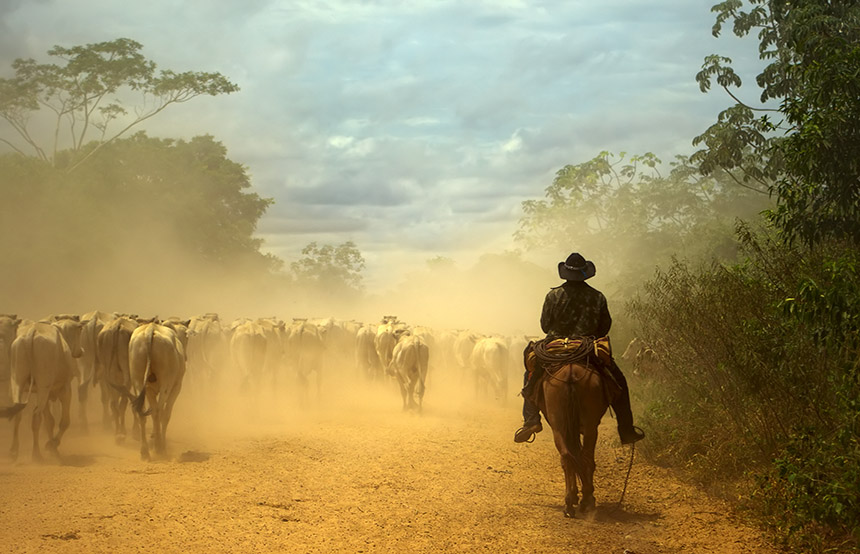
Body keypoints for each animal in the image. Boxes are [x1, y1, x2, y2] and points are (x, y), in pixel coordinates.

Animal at [528, 344, 620, 512]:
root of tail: (571, 374)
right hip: (587, 426)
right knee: (582, 456)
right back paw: (585, 499)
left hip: (561, 425)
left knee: (569, 456)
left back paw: (572, 501)